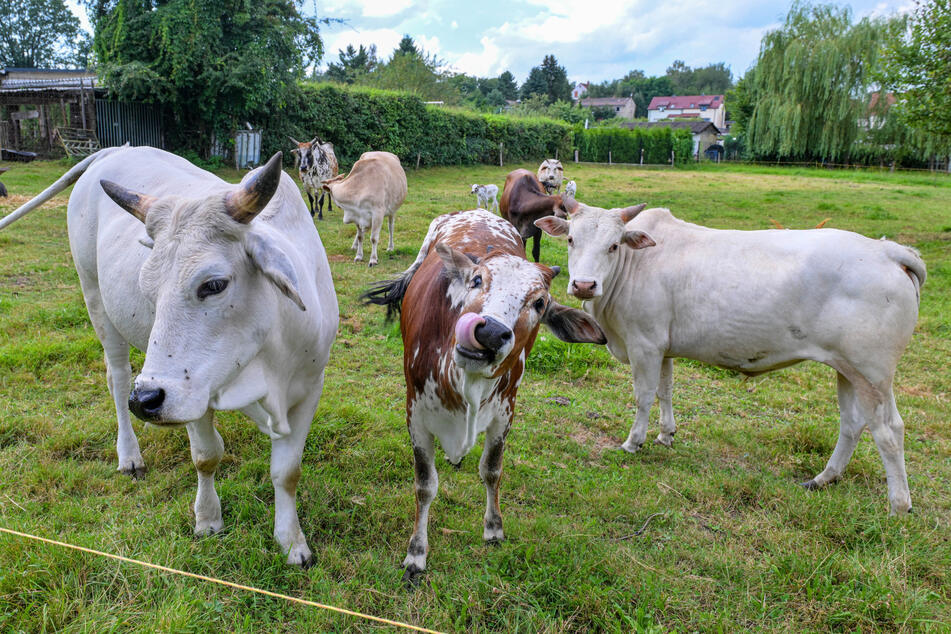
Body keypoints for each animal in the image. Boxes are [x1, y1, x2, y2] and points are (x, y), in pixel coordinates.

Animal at [0, 147, 340, 564]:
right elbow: (207, 456)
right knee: (117, 380)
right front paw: (208, 519)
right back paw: (129, 453)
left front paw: (292, 542)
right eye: (149, 288)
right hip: (96, 301)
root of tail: (118, 149)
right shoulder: (192, 395)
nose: (146, 401)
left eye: (214, 284)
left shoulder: (308, 388)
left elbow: (287, 472)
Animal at [360, 207, 608, 584]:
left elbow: (492, 470)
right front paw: (416, 553)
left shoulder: (505, 415)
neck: (466, 383)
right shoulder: (415, 415)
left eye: (540, 303)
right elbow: (425, 484)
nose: (489, 331)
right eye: (477, 280)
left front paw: (493, 529)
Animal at [540, 199, 924, 512]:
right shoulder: (664, 347)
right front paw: (666, 434)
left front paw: (634, 442)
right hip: (847, 369)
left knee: (889, 430)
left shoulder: (644, 343)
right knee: (852, 423)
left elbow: (644, 396)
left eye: (613, 245)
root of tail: (885, 250)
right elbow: (666, 390)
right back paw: (823, 478)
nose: (584, 285)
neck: (634, 264)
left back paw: (898, 506)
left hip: (872, 373)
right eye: (571, 239)